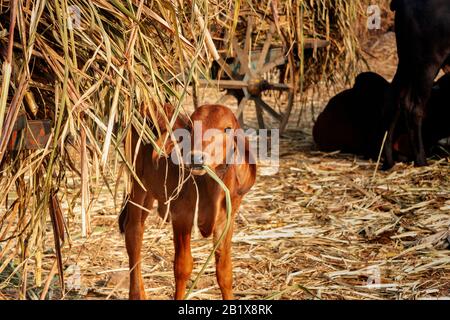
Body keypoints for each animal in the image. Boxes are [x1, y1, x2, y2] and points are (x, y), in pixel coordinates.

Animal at [118, 104, 255, 300]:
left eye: (227, 129)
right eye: (190, 128)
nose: (196, 158)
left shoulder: (227, 221)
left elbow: (225, 271)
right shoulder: (182, 216)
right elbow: (183, 267)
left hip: (149, 193)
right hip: (136, 182)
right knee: (133, 233)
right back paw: (136, 294)